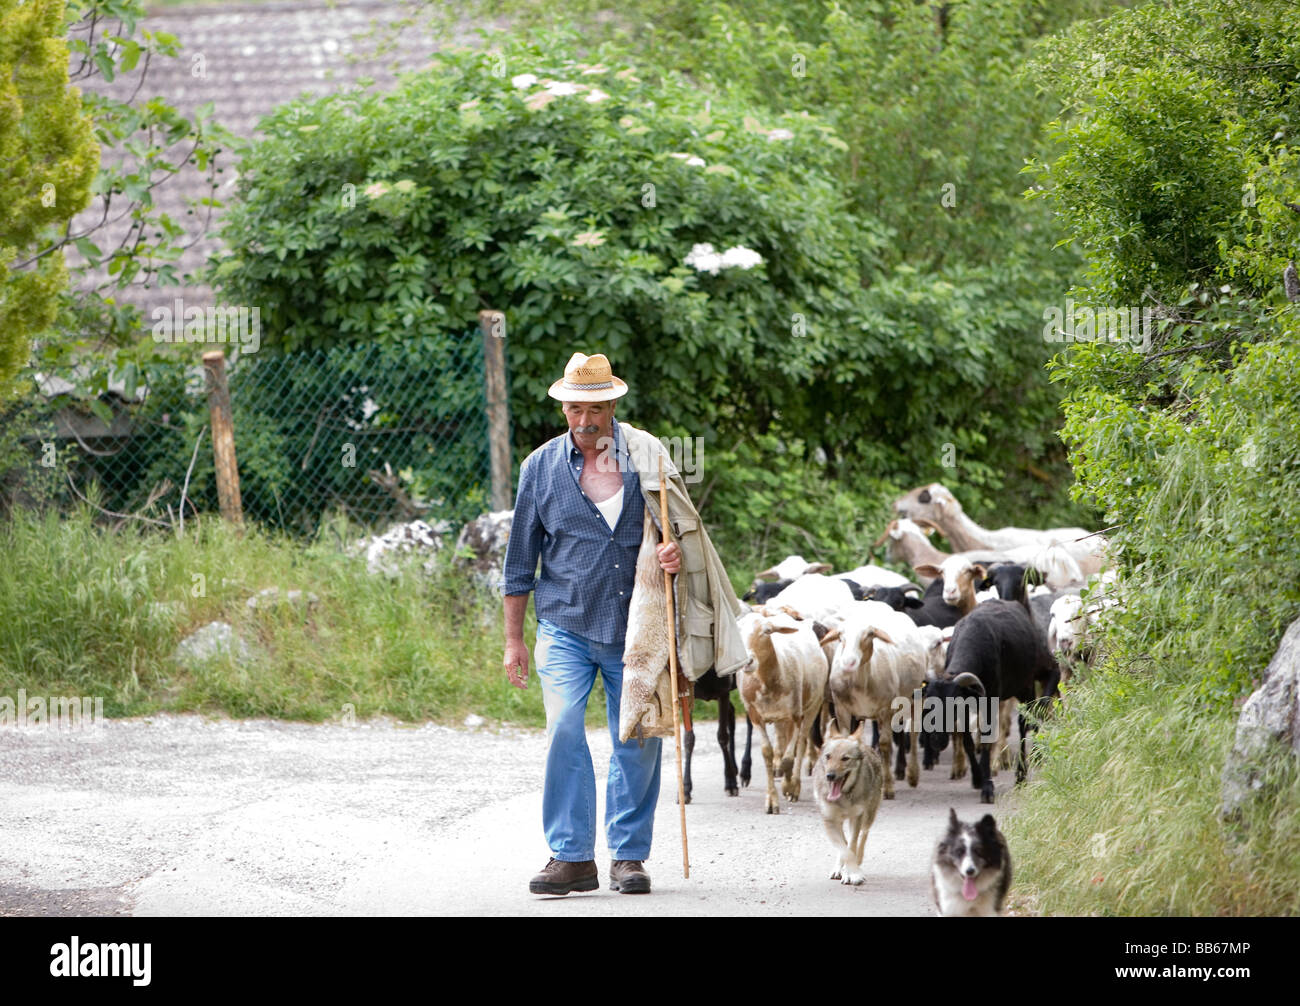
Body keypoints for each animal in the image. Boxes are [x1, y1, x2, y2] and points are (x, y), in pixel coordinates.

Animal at [737, 607, 830, 814]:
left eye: (767, 631)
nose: (747, 662)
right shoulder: (755, 715)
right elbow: (767, 753)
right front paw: (771, 800)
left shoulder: (796, 714)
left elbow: (790, 757)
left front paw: (788, 786)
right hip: (781, 717)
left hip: (814, 704)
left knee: (801, 743)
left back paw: (795, 784)